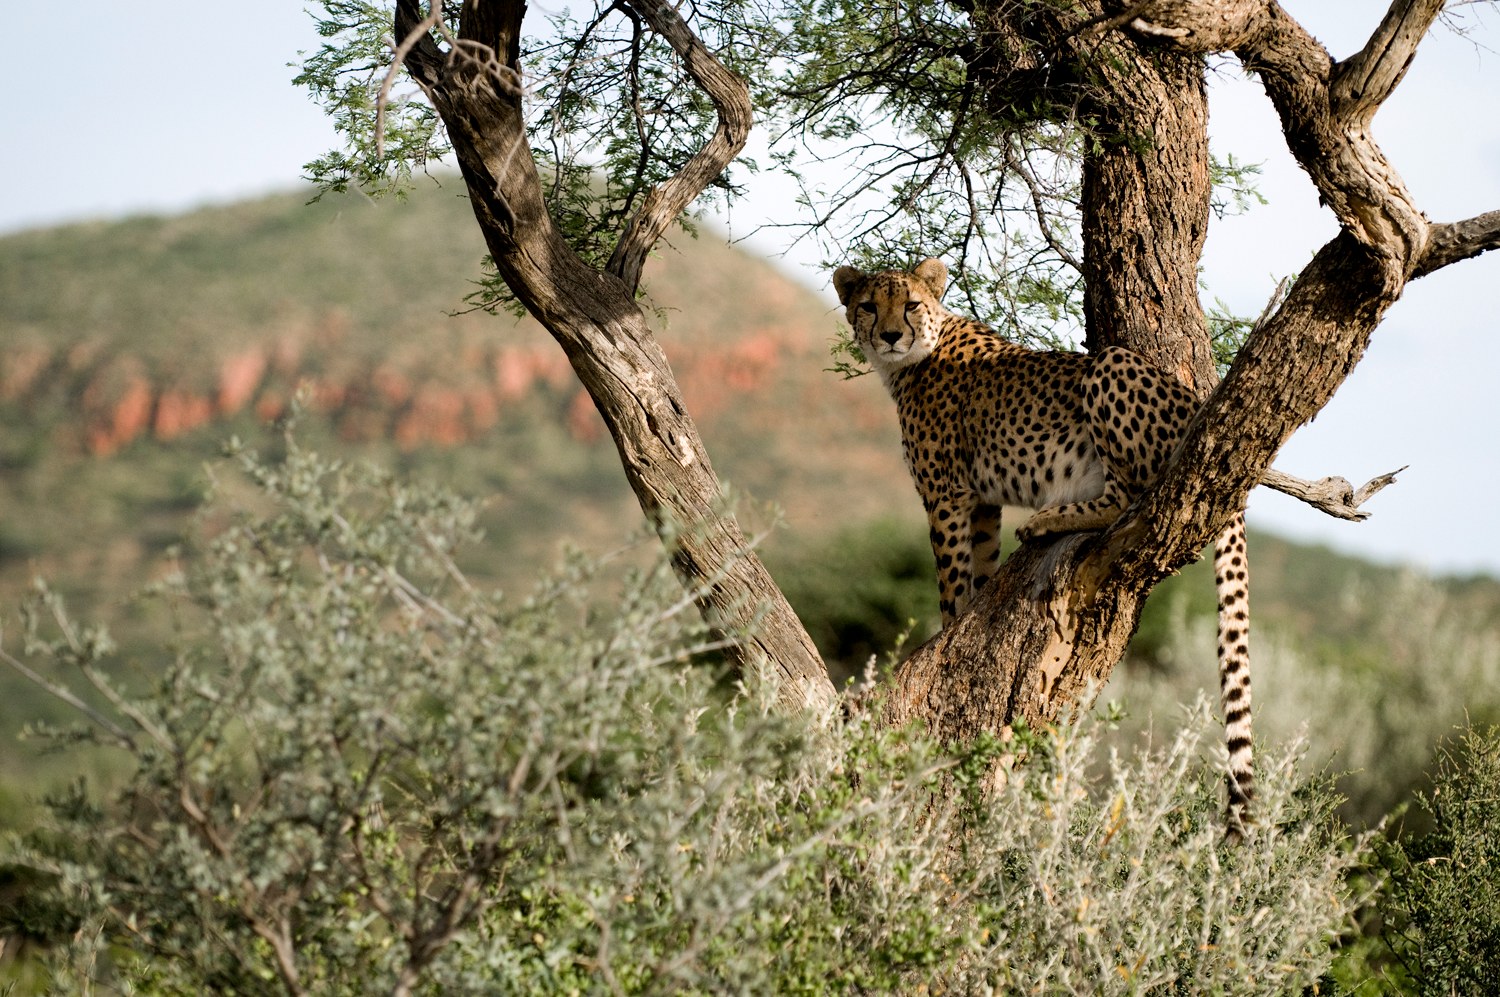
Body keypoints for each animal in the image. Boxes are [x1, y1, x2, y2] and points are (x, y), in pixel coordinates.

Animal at [833, 257, 1253, 830]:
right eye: (869, 306)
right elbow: (979, 567)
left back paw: (1047, 519)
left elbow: (950, 580)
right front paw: (972, 617)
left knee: (1129, 496)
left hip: (1111, 367)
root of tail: (1196, 402)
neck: (916, 357)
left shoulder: (947, 495)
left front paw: (948, 630)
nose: (892, 335)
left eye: (911, 304)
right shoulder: (981, 503)